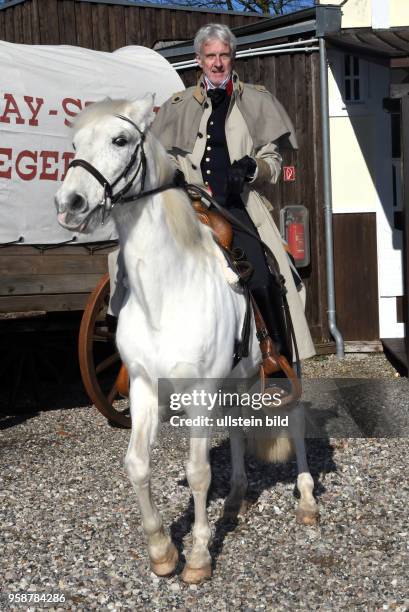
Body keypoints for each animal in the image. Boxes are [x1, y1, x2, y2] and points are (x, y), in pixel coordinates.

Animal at [55, 94, 318, 584]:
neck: (166, 292)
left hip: (283, 363)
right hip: (239, 379)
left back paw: (307, 498)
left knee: (293, 420)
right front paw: (161, 550)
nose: (70, 204)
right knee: (238, 428)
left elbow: (197, 473)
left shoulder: (199, 393)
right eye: (76, 144)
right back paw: (235, 500)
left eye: (120, 140)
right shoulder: (143, 387)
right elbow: (137, 464)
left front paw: (197, 558)